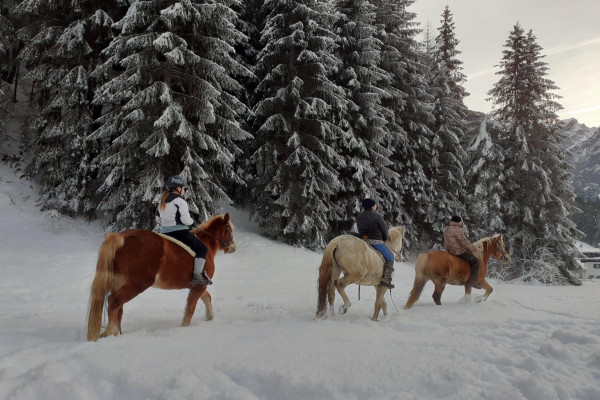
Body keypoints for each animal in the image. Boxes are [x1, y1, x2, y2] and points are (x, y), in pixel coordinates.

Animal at [87, 212, 237, 340]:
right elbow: (191, 308)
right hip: (137, 284)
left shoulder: (195, 285)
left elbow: (206, 297)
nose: (233, 247)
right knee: (114, 301)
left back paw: (118, 332)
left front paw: (210, 317)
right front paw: (185, 327)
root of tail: (123, 237)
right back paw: (110, 331)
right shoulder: (199, 285)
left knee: (118, 307)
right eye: (229, 229)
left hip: (119, 283)